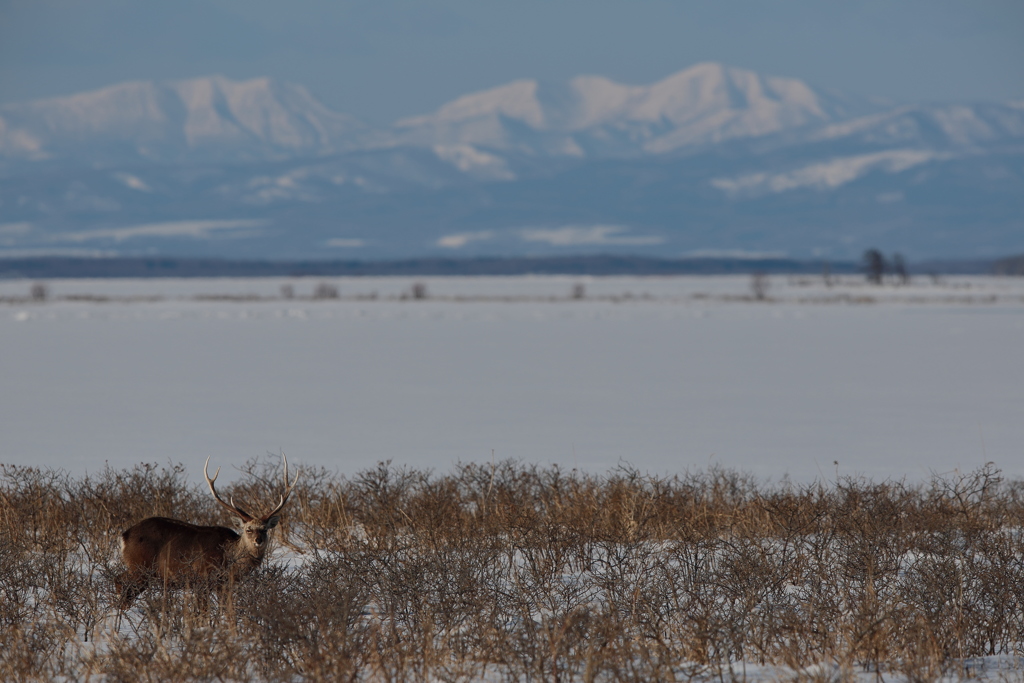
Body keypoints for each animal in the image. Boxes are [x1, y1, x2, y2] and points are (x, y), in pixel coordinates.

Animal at [118, 454, 299, 610]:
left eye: (265, 529)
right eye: (248, 529)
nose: (258, 540)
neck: (229, 560)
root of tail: (125, 536)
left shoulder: (223, 586)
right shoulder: (202, 580)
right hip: (140, 567)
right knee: (121, 586)